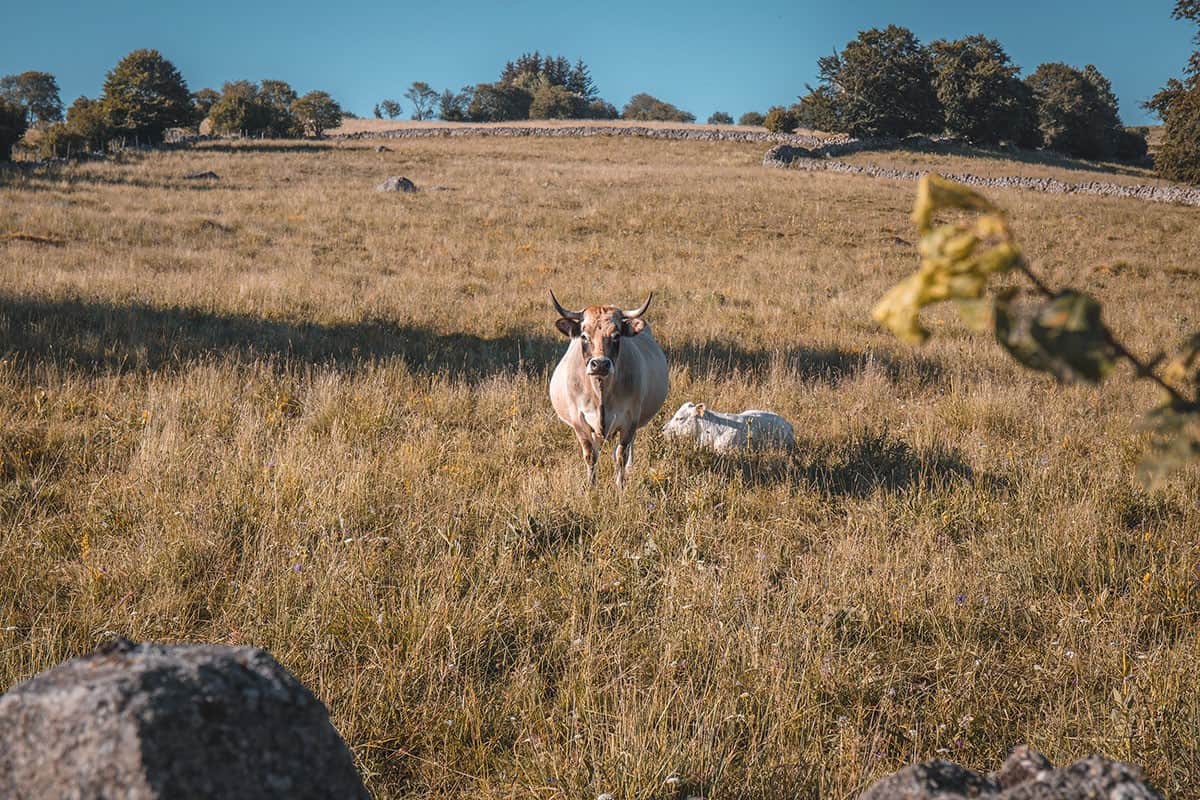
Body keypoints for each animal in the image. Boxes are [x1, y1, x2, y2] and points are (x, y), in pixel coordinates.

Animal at [549, 289, 672, 489]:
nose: (600, 364)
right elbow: (590, 455)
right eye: (584, 336)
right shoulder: (578, 420)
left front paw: (620, 486)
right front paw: (591, 486)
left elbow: (621, 454)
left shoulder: (631, 418)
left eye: (616, 336)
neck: (601, 392)